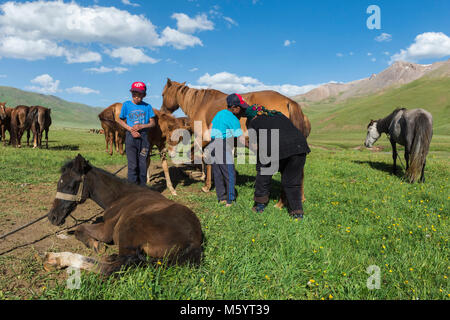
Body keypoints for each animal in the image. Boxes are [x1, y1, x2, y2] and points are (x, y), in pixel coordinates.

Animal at [44, 154, 203, 276]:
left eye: (70, 186)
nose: (52, 217)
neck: (120, 197)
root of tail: (194, 241)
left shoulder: (106, 231)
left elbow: (80, 229)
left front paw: (94, 244)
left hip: (129, 226)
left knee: (111, 267)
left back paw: (56, 258)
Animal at [160, 79, 312, 206]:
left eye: (162, 94)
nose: (162, 112)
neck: (200, 104)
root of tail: (288, 101)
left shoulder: (203, 138)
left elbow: (203, 158)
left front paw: (207, 185)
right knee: (300, 172)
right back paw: (301, 198)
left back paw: (281, 203)